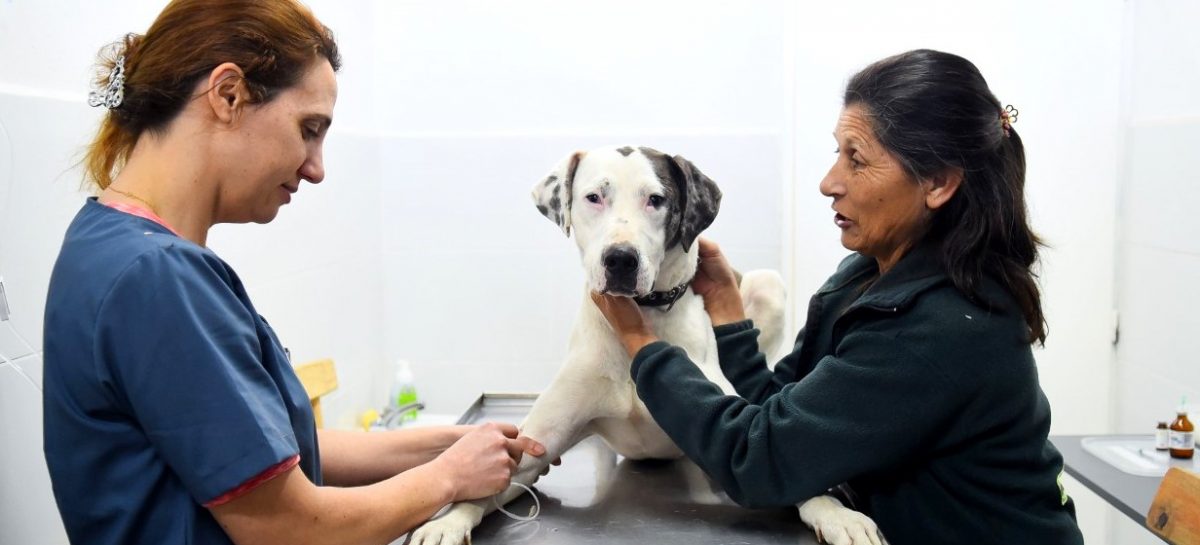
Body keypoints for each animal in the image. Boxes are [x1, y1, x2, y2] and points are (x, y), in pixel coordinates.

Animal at [412, 144, 883, 545]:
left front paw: (837, 513)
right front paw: (448, 521)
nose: (621, 259)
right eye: (593, 197)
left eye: (656, 200)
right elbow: (486, 482)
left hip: (769, 283)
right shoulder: (534, 447)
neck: (644, 316)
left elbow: (786, 469)